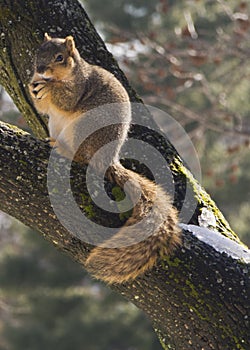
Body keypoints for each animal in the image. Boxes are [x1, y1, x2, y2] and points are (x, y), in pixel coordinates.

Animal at [28, 33, 182, 284]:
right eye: (37, 52)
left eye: (59, 57)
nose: (40, 70)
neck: (70, 72)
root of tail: (109, 159)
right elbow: (42, 106)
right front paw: (34, 85)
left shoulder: (78, 87)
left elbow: (66, 99)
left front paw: (48, 87)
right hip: (57, 125)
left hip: (86, 128)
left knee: (83, 157)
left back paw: (65, 151)